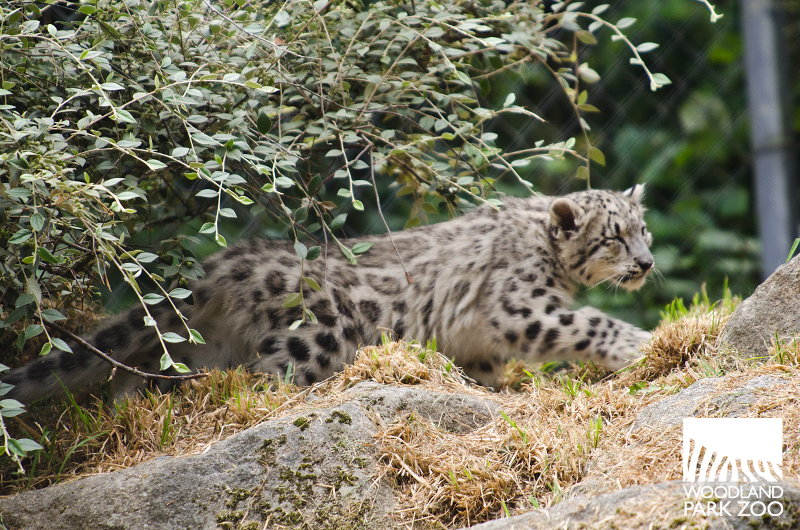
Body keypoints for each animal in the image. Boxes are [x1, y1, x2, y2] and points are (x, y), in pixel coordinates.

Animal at [3, 185, 654, 403]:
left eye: (643, 228)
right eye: (614, 236)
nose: (648, 263)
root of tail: (222, 265)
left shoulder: (479, 342)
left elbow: (485, 373)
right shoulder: (516, 306)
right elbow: (585, 322)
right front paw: (640, 344)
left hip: (200, 350)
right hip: (318, 334)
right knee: (268, 377)